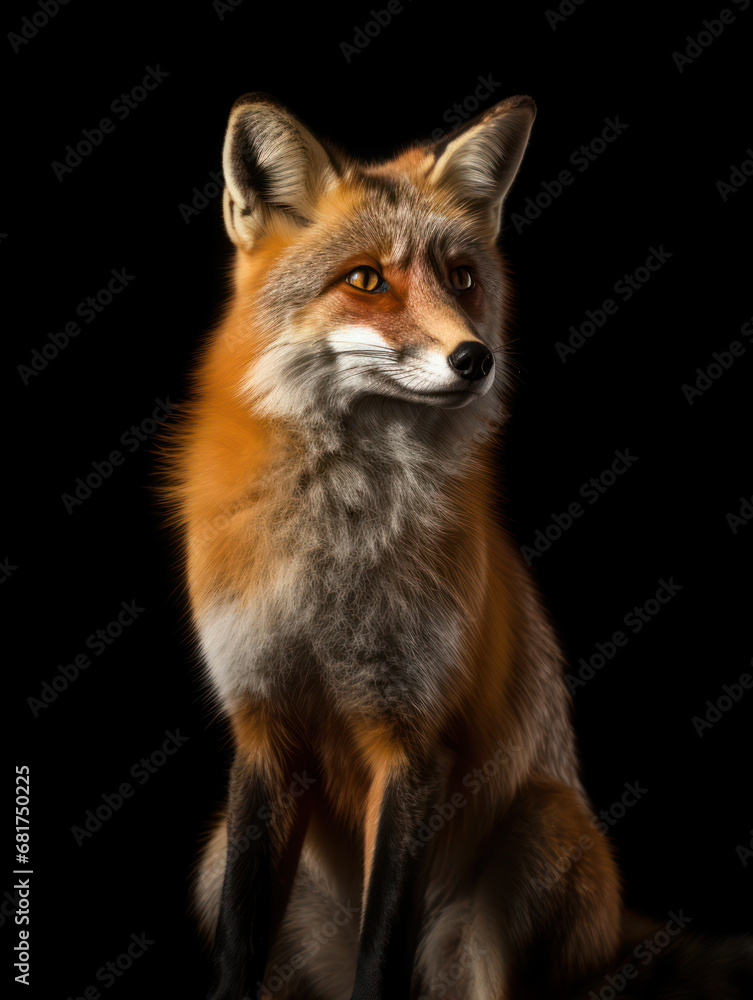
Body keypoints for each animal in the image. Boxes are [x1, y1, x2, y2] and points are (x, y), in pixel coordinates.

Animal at [163, 93, 753, 999]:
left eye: (463, 278)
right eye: (366, 280)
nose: (476, 358)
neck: (336, 554)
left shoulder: (416, 736)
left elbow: (380, 957)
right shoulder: (263, 723)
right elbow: (238, 949)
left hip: (528, 845)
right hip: (214, 848)